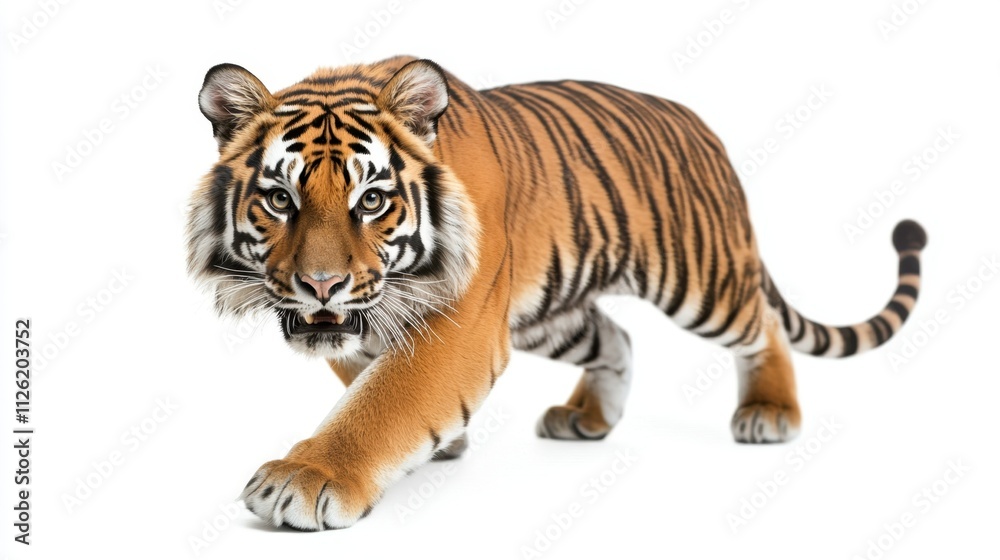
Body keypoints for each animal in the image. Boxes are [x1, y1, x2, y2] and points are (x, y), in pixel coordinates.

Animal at [186, 55, 927, 530]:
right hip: (550, 312)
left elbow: (384, 400)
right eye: (280, 199)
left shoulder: (460, 322)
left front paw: (307, 478)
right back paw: (587, 418)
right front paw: (442, 445)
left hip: (700, 278)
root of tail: (703, 129)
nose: (322, 284)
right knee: (617, 336)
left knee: (763, 326)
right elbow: (361, 373)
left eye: (371, 201)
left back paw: (769, 412)